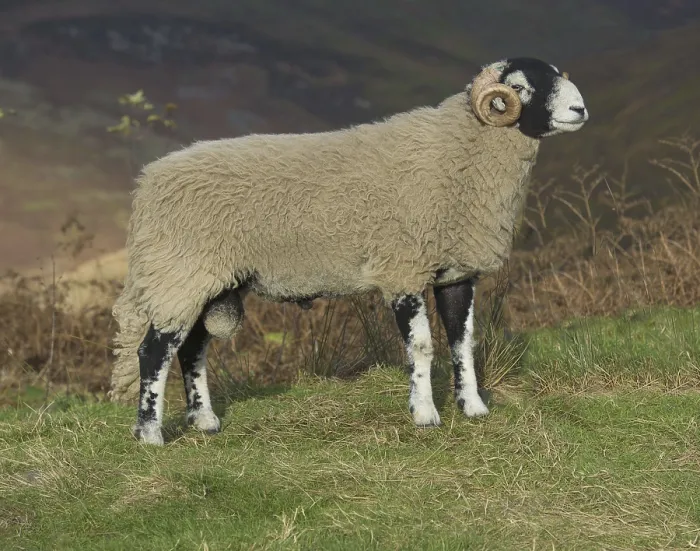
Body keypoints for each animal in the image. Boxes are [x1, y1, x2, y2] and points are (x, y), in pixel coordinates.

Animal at [110, 57, 589, 445]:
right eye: (521, 87)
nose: (580, 110)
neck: (460, 151)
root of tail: (146, 183)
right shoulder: (402, 269)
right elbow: (421, 346)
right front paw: (424, 413)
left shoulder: (457, 273)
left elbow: (463, 341)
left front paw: (473, 407)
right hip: (179, 273)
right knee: (153, 352)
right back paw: (150, 434)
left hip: (207, 284)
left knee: (190, 349)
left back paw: (204, 421)